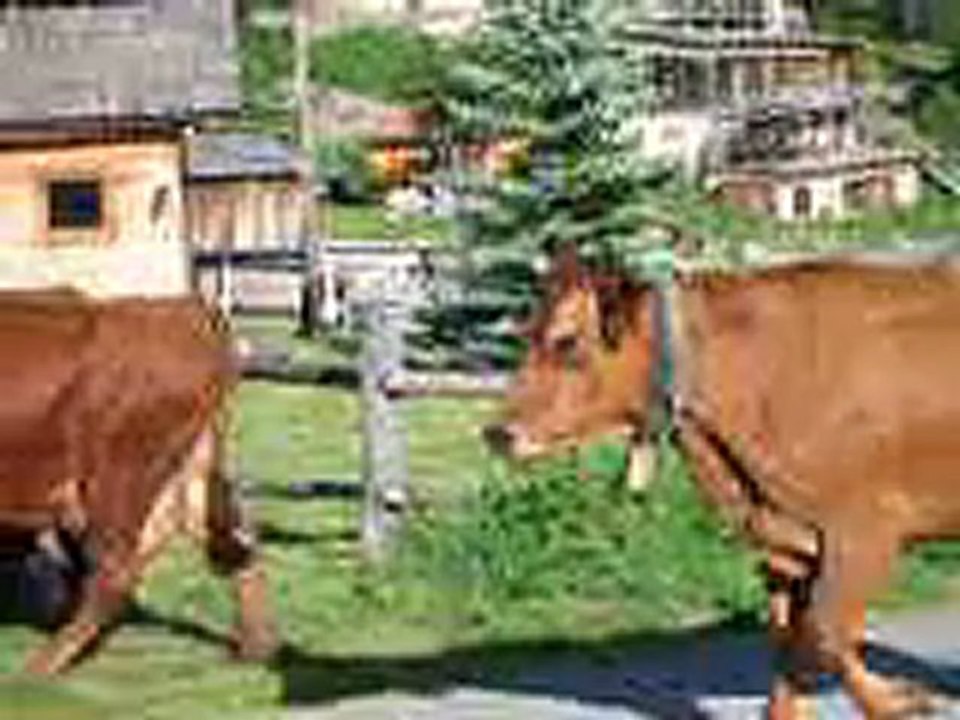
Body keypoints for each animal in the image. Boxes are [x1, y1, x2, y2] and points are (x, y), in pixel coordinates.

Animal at [0, 288, 276, 675]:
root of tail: (184, 308)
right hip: (190, 471)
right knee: (235, 539)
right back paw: (257, 647)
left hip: (117, 477)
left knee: (117, 569)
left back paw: (42, 665)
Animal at [486, 245, 960, 719]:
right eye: (527, 333)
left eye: (566, 341)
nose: (496, 433)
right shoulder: (785, 539)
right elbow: (791, 638)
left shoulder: (864, 533)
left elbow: (823, 636)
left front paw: (894, 700)